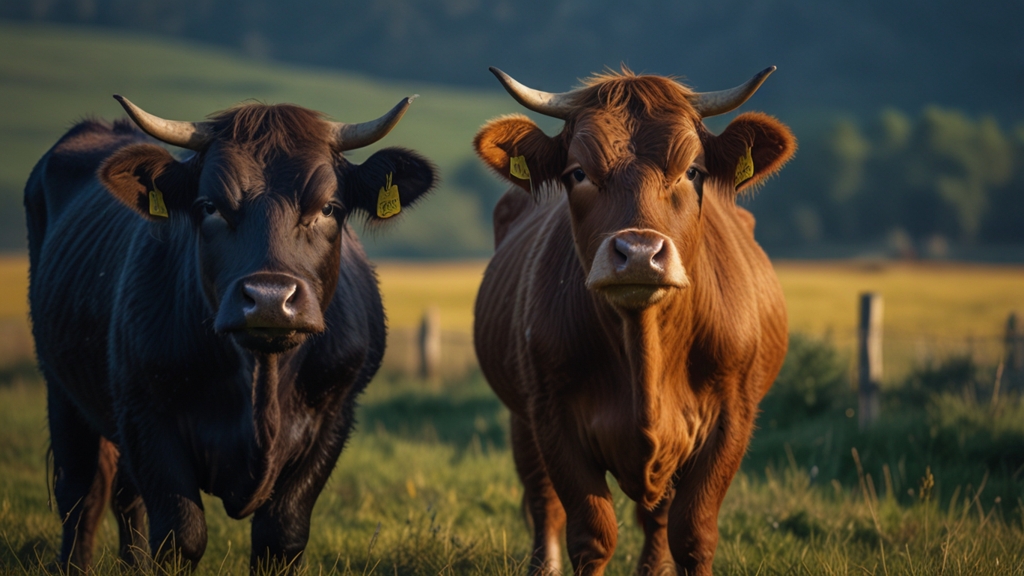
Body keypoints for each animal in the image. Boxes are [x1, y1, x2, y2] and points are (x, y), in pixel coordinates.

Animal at [27, 95, 436, 569]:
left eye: (328, 207)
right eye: (209, 206)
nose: (270, 298)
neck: (262, 379)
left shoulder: (334, 416)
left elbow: (281, 537)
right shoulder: (146, 414)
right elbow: (180, 535)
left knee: (124, 497)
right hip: (59, 386)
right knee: (82, 492)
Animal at [475, 65, 794, 569]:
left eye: (693, 171)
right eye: (578, 173)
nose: (640, 254)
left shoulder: (732, 417)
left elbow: (692, 532)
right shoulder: (551, 414)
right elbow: (591, 532)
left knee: (658, 514)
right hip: (522, 417)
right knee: (542, 497)